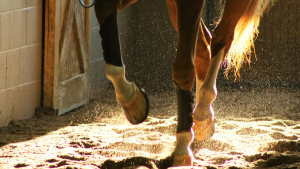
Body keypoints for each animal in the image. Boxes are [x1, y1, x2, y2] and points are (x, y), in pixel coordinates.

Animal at [85, 0, 274, 166]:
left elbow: (183, 70)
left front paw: (182, 149)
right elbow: (104, 8)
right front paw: (132, 101)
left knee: (221, 37)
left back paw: (202, 114)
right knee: (203, 49)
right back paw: (201, 119)